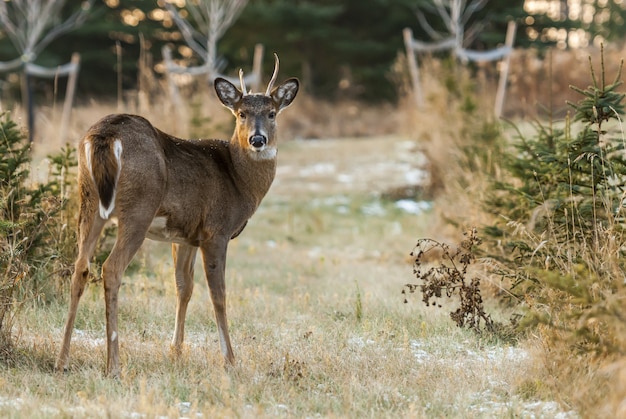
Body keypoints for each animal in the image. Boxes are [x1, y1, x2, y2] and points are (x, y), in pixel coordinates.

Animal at [54, 54, 298, 378]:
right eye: (241, 114)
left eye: (271, 113)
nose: (257, 140)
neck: (237, 179)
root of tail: (104, 135)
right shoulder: (215, 230)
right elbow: (218, 294)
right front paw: (230, 360)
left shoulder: (184, 236)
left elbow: (184, 287)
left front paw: (176, 352)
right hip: (139, 206)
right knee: (112, 268)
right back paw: (113, 365)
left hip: (89, 201)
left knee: (80, 267)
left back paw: (62, 360)